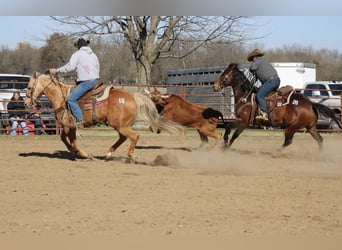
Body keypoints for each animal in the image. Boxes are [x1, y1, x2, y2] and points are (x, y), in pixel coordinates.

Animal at [24, 73, 184, 161]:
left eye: (29, 87)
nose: (25, 103)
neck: (62, 97)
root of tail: (133, 96)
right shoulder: (66, 126)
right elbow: (64, 139)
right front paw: (73, 151)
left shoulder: (71, 126)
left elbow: (73, 141)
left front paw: (84, 154)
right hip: (119, 125)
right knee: (123, 137)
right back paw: (108, 153)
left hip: (120, 125)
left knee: (134, 136)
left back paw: (131, 156)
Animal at [212, 63, 340, 151]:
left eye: (224, 74)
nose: (215, 86)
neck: (246, 97)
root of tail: (311, 104)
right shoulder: (240, 121)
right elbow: (228, 128)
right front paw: (224, 143)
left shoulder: (243, 122)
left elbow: (233, 134)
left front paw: (225, 146)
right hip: (311, 127)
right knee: (319, 140)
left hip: (291, 128)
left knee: (288, 141)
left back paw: (276, 152)